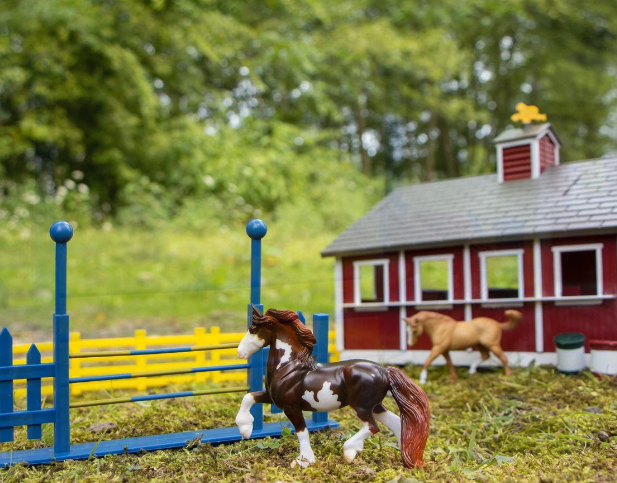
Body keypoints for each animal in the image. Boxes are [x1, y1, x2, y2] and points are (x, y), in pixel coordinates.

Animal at [233, 308, 430, 470]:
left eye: (252, 329)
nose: (240, 352)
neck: (289, 366)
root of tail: (384, 371)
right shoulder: (272, 397)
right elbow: (249, 397)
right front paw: (246, 429)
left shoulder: (291, 407)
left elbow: (302, 432)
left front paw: (304, 461)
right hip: (375, 406)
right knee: (396, 423)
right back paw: (406, 461)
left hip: (362, 407)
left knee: (372, 427)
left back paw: (350, 452)